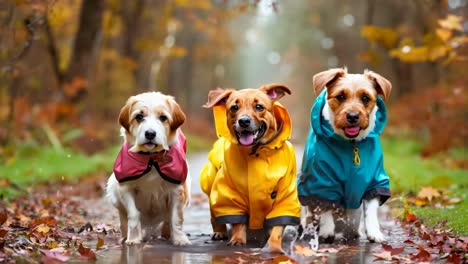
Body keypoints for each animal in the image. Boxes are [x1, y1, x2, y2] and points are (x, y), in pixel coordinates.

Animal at [107, 92, 191, 245]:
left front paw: (180, 239)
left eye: (163, 117)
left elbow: (176, 218)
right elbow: (133, 215)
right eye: (139, 117)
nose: (150, 133)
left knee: (167, 220)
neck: (151, 157)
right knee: (124, 218)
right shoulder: (126, 188)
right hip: (112, 187)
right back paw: (125, 236)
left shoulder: (176, 190)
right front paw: (133, 238)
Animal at [199, 84, 302, 252]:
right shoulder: (229, 193)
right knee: (214, 214)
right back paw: (220, 232)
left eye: (259, 106)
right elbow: (237, 222)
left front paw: (274, 247)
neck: (255, 152)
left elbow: (277, 227)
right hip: (212, 182)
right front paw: (238, 239)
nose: (244, 121)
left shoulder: (285, 196)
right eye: (234, 107)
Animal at [298, 67, 394, 248]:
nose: (353, 116)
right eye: (341, 96)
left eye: (365, 98)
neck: (351, 144)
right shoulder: (322, 181)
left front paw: (374, 233)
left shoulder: (374, 182)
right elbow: (326, 206)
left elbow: (370, 210)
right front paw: (327, 231)